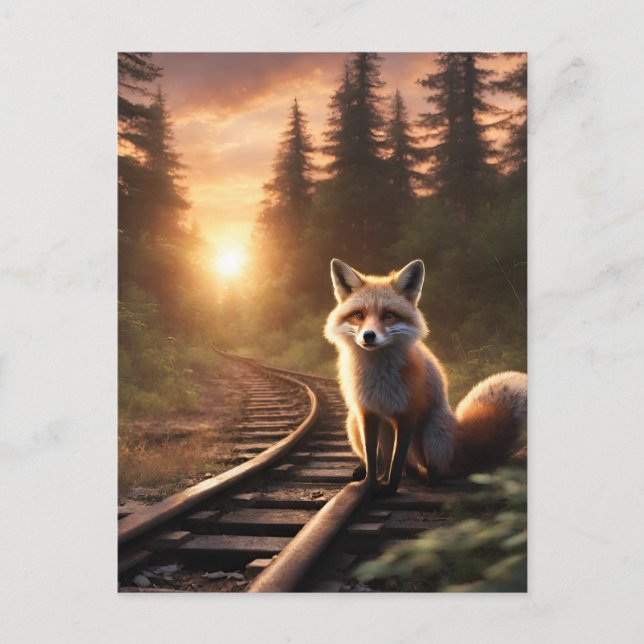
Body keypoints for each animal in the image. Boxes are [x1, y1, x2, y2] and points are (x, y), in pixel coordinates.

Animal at [324, 258, 527, 496]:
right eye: (358, 315)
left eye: (388, 315)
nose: (369, 336)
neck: (378, 376)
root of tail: (459, 438)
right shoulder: (367, 413)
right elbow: (375, 460)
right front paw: (371, 485)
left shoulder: (407, 414)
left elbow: (396, 463)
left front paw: (389, 490)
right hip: (354, 421)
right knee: (386, 462)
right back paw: (367, 471)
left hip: (431, 432)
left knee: (428, 469)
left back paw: (427, 479)